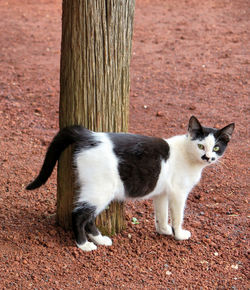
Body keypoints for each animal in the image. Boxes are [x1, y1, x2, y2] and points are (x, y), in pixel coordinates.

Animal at [25, 116, 234, 251]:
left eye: (216, 147)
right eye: (200, 145)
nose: (208, 157)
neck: (188, 156)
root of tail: (90, 135)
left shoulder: (162, 193)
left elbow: (161, 214)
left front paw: (164, 230)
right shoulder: (178, 193)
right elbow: (177, 216)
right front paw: (179, 234)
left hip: (95, 189)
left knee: (89, 216)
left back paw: (100, 239)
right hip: (102, 189)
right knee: (79, 214)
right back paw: (84, 245)